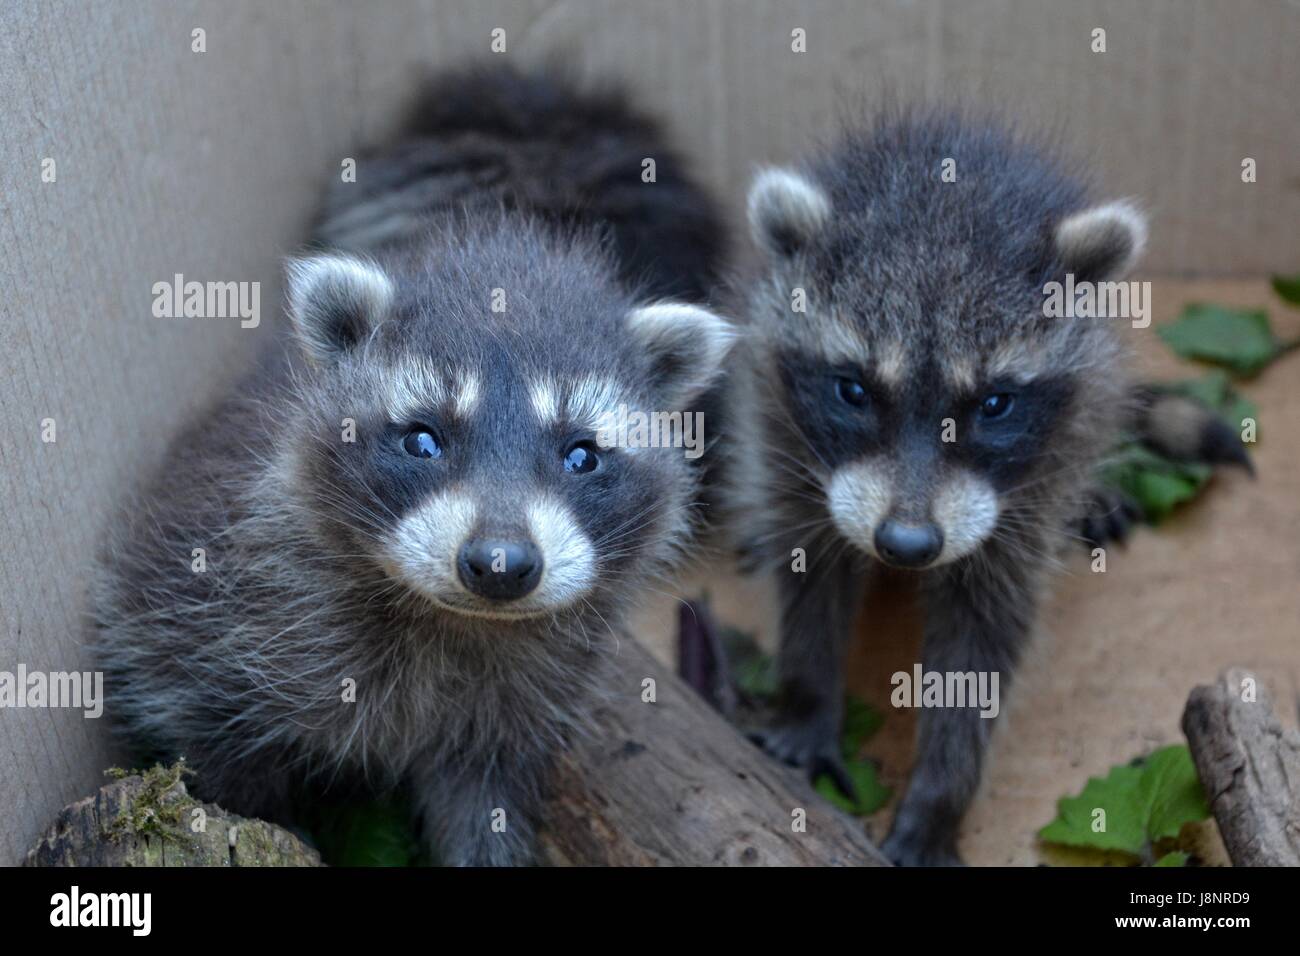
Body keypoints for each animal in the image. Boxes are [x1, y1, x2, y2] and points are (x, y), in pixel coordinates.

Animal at [92, 69, 738, 868]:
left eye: (582, 454)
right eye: (423, 440)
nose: (500, 565)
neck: (450, 619)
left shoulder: (516, 708)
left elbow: (485, 802)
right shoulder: (207, 613)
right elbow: (219, 754)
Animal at [733, 110, 1248, 868]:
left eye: (995, 404)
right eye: (853, 390)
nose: (906, 544)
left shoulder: (1034, 490)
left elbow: (984, 644)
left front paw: (940, 794)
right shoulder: (783, 433)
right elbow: (810, 576)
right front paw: (806, 697)